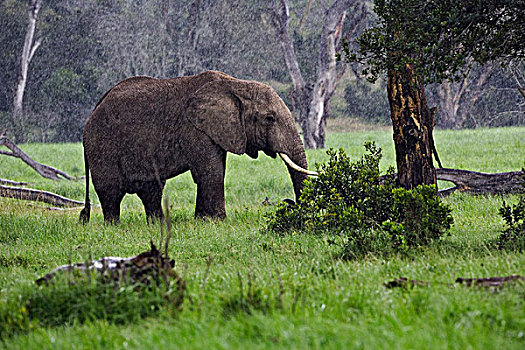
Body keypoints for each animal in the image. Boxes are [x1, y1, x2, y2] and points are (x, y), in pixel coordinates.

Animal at [80, 70, 318, 224]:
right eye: (269, 118)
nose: (289, 203)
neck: (235, 85)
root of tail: (92, 113)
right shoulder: (194, 128)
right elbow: (211, 171)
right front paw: (218, 221)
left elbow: (214, 170)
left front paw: (202, 220)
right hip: (101, 144)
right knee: (111, 192)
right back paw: (113, 225)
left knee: (152, 191)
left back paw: (157, 225)